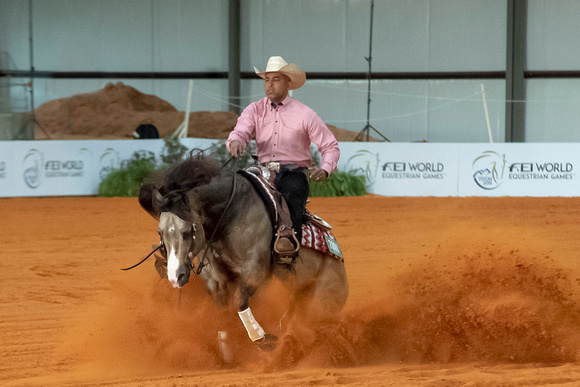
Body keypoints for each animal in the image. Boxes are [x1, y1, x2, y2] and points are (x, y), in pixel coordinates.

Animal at [139, 153, 348, 354]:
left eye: (187, 231)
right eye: (160, 232)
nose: (175, 277)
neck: (230, 214)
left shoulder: (256, 270)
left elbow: (240, 300)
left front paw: (262, 339)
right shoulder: (215, 276)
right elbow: (221, 310)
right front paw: (226, 350)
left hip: (321, 304)